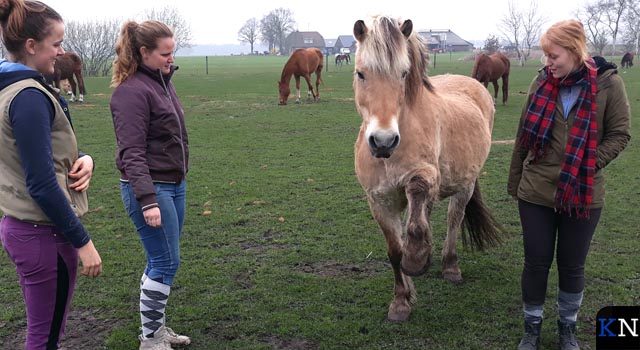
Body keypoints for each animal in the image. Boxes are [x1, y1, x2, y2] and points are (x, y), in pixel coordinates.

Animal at [352, 15, 502, 322]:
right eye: (361, 74)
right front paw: (401, 301)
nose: (383, 141)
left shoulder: (425, 175)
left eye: (403, 73)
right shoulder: (379, 201)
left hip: (466, 184)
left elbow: (417, 199)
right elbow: (394, 250)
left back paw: (450, 265)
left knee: (454, 219)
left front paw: (416, 258)